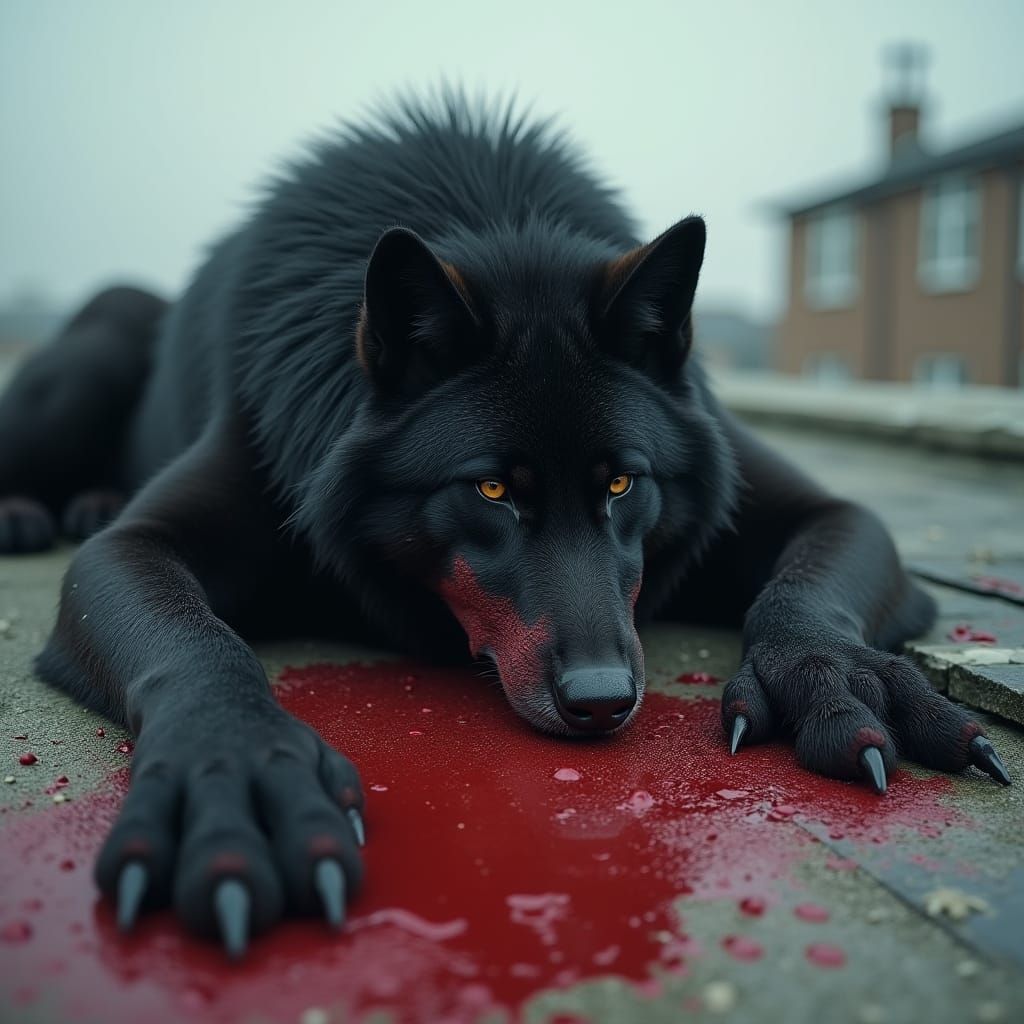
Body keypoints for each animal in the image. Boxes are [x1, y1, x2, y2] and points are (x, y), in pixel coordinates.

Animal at [0, 94, 1009, 957]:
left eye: (622, 483)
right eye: (490, 491)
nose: (603, 702)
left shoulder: (821, 513)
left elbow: (802, 594)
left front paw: (831, 674)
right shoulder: (134, 550)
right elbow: (196, 643)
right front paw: (236, 767)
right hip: (89, 354)